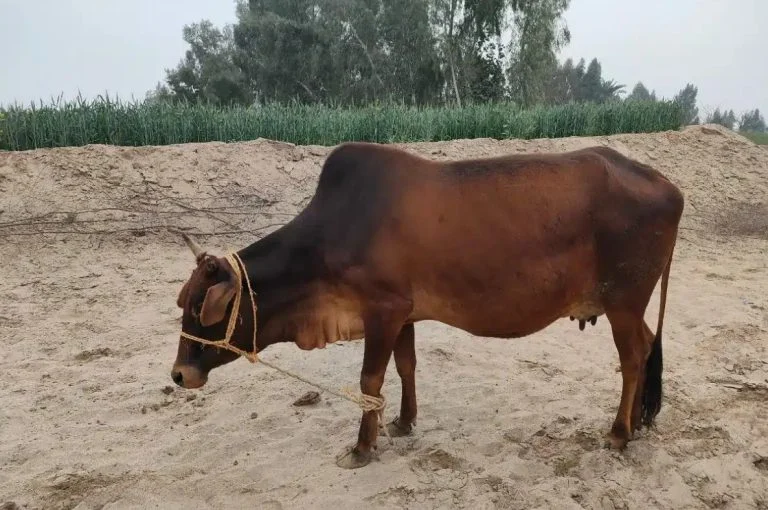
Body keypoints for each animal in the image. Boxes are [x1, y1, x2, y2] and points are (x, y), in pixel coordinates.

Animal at [170, 142, 684, 469]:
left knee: (633, 357)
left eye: (200, 309)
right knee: (646, 347)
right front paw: (403, 421)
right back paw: (638, 424)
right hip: (628, 307)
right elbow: (406, 367)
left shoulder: (382, 310)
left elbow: (370, 379)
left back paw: (618, 432)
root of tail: (667, 185)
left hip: (623, 302)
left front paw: (362, 448)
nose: (178, 375)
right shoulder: (404, 313)